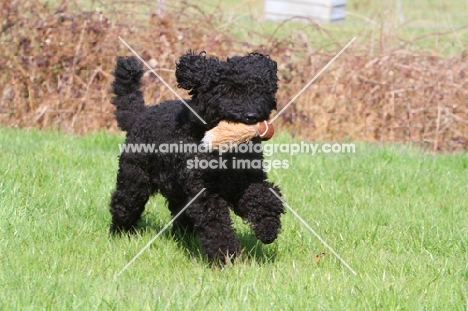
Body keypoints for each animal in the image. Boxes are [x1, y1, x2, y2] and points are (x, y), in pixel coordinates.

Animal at [110, 52, 286, 264]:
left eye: (260, 91)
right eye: (229, 91)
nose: (252, 116)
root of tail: (139, 115)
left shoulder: (246, 180)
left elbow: (264, 197)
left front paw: (268, 228)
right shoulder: (204, 191)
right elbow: (216, 223)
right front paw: (225, 256)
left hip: (175, 191)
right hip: (134, 180)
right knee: (123, 205)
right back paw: (119, 234)